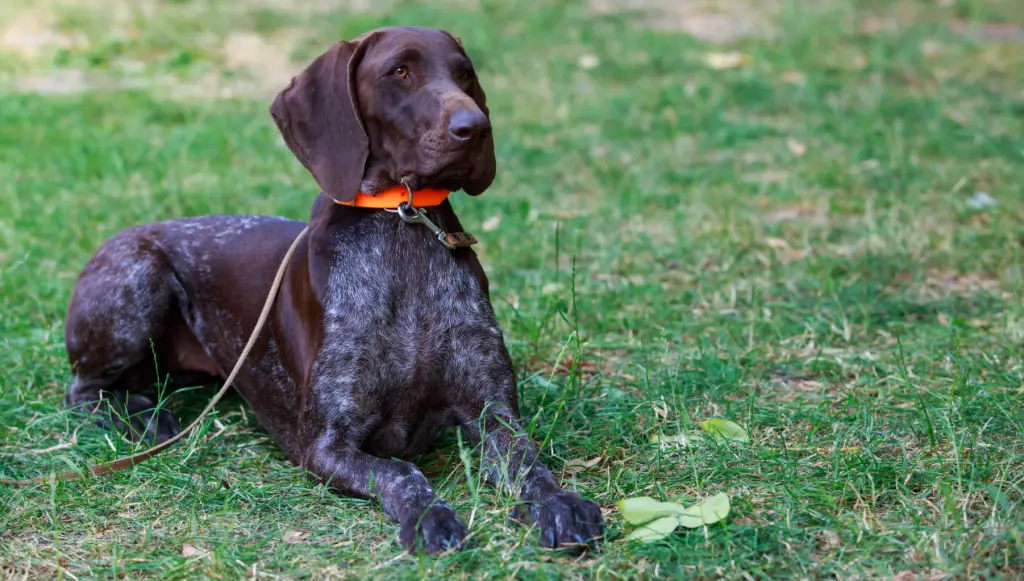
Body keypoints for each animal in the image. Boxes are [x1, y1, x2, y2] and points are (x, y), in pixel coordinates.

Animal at [59, 26, 602, 553]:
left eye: (464, 73)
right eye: (399, 71)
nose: (476, 127)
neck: (401, 225)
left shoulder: (493, 414)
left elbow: (530, 464)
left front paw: (560, 503)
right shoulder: (324, 443)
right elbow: (403, 471)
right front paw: (429, 515)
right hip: (138, 276)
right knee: (82, 390)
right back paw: (142, 420)